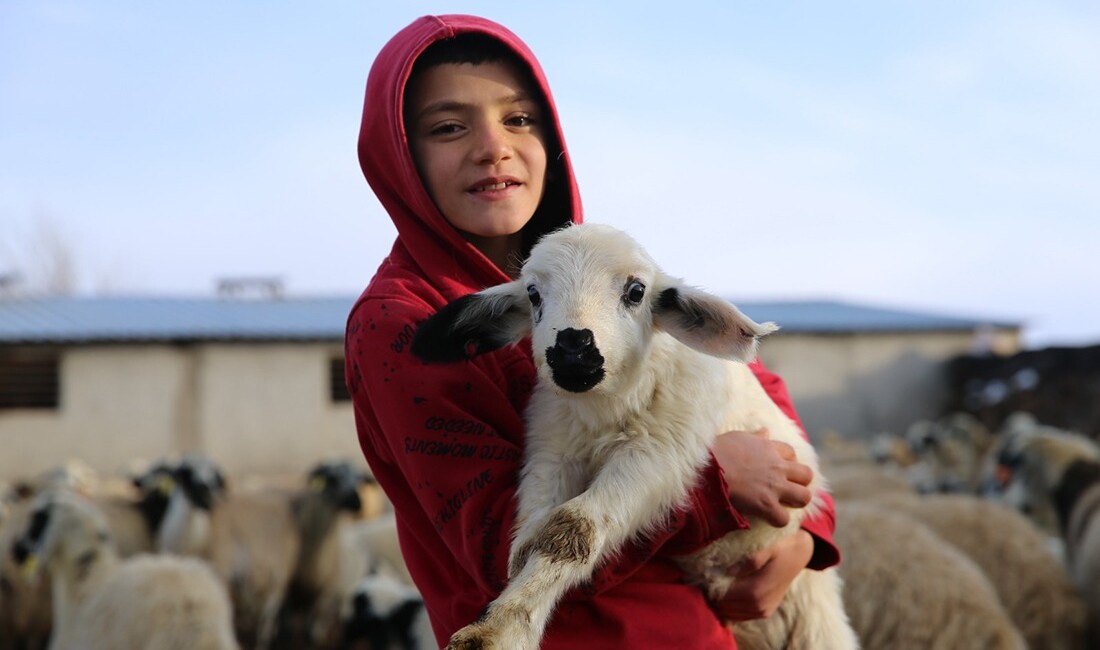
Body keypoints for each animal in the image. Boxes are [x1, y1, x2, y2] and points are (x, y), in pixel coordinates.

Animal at [413, 224, 858, 650]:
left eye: (637, 291)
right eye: (533, 294)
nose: (572, 345)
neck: (603, 411)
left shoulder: (657, 453)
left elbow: (571, 530)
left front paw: (500, 631)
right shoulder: (552, 454)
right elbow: (527, 543)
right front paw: (501, 623)